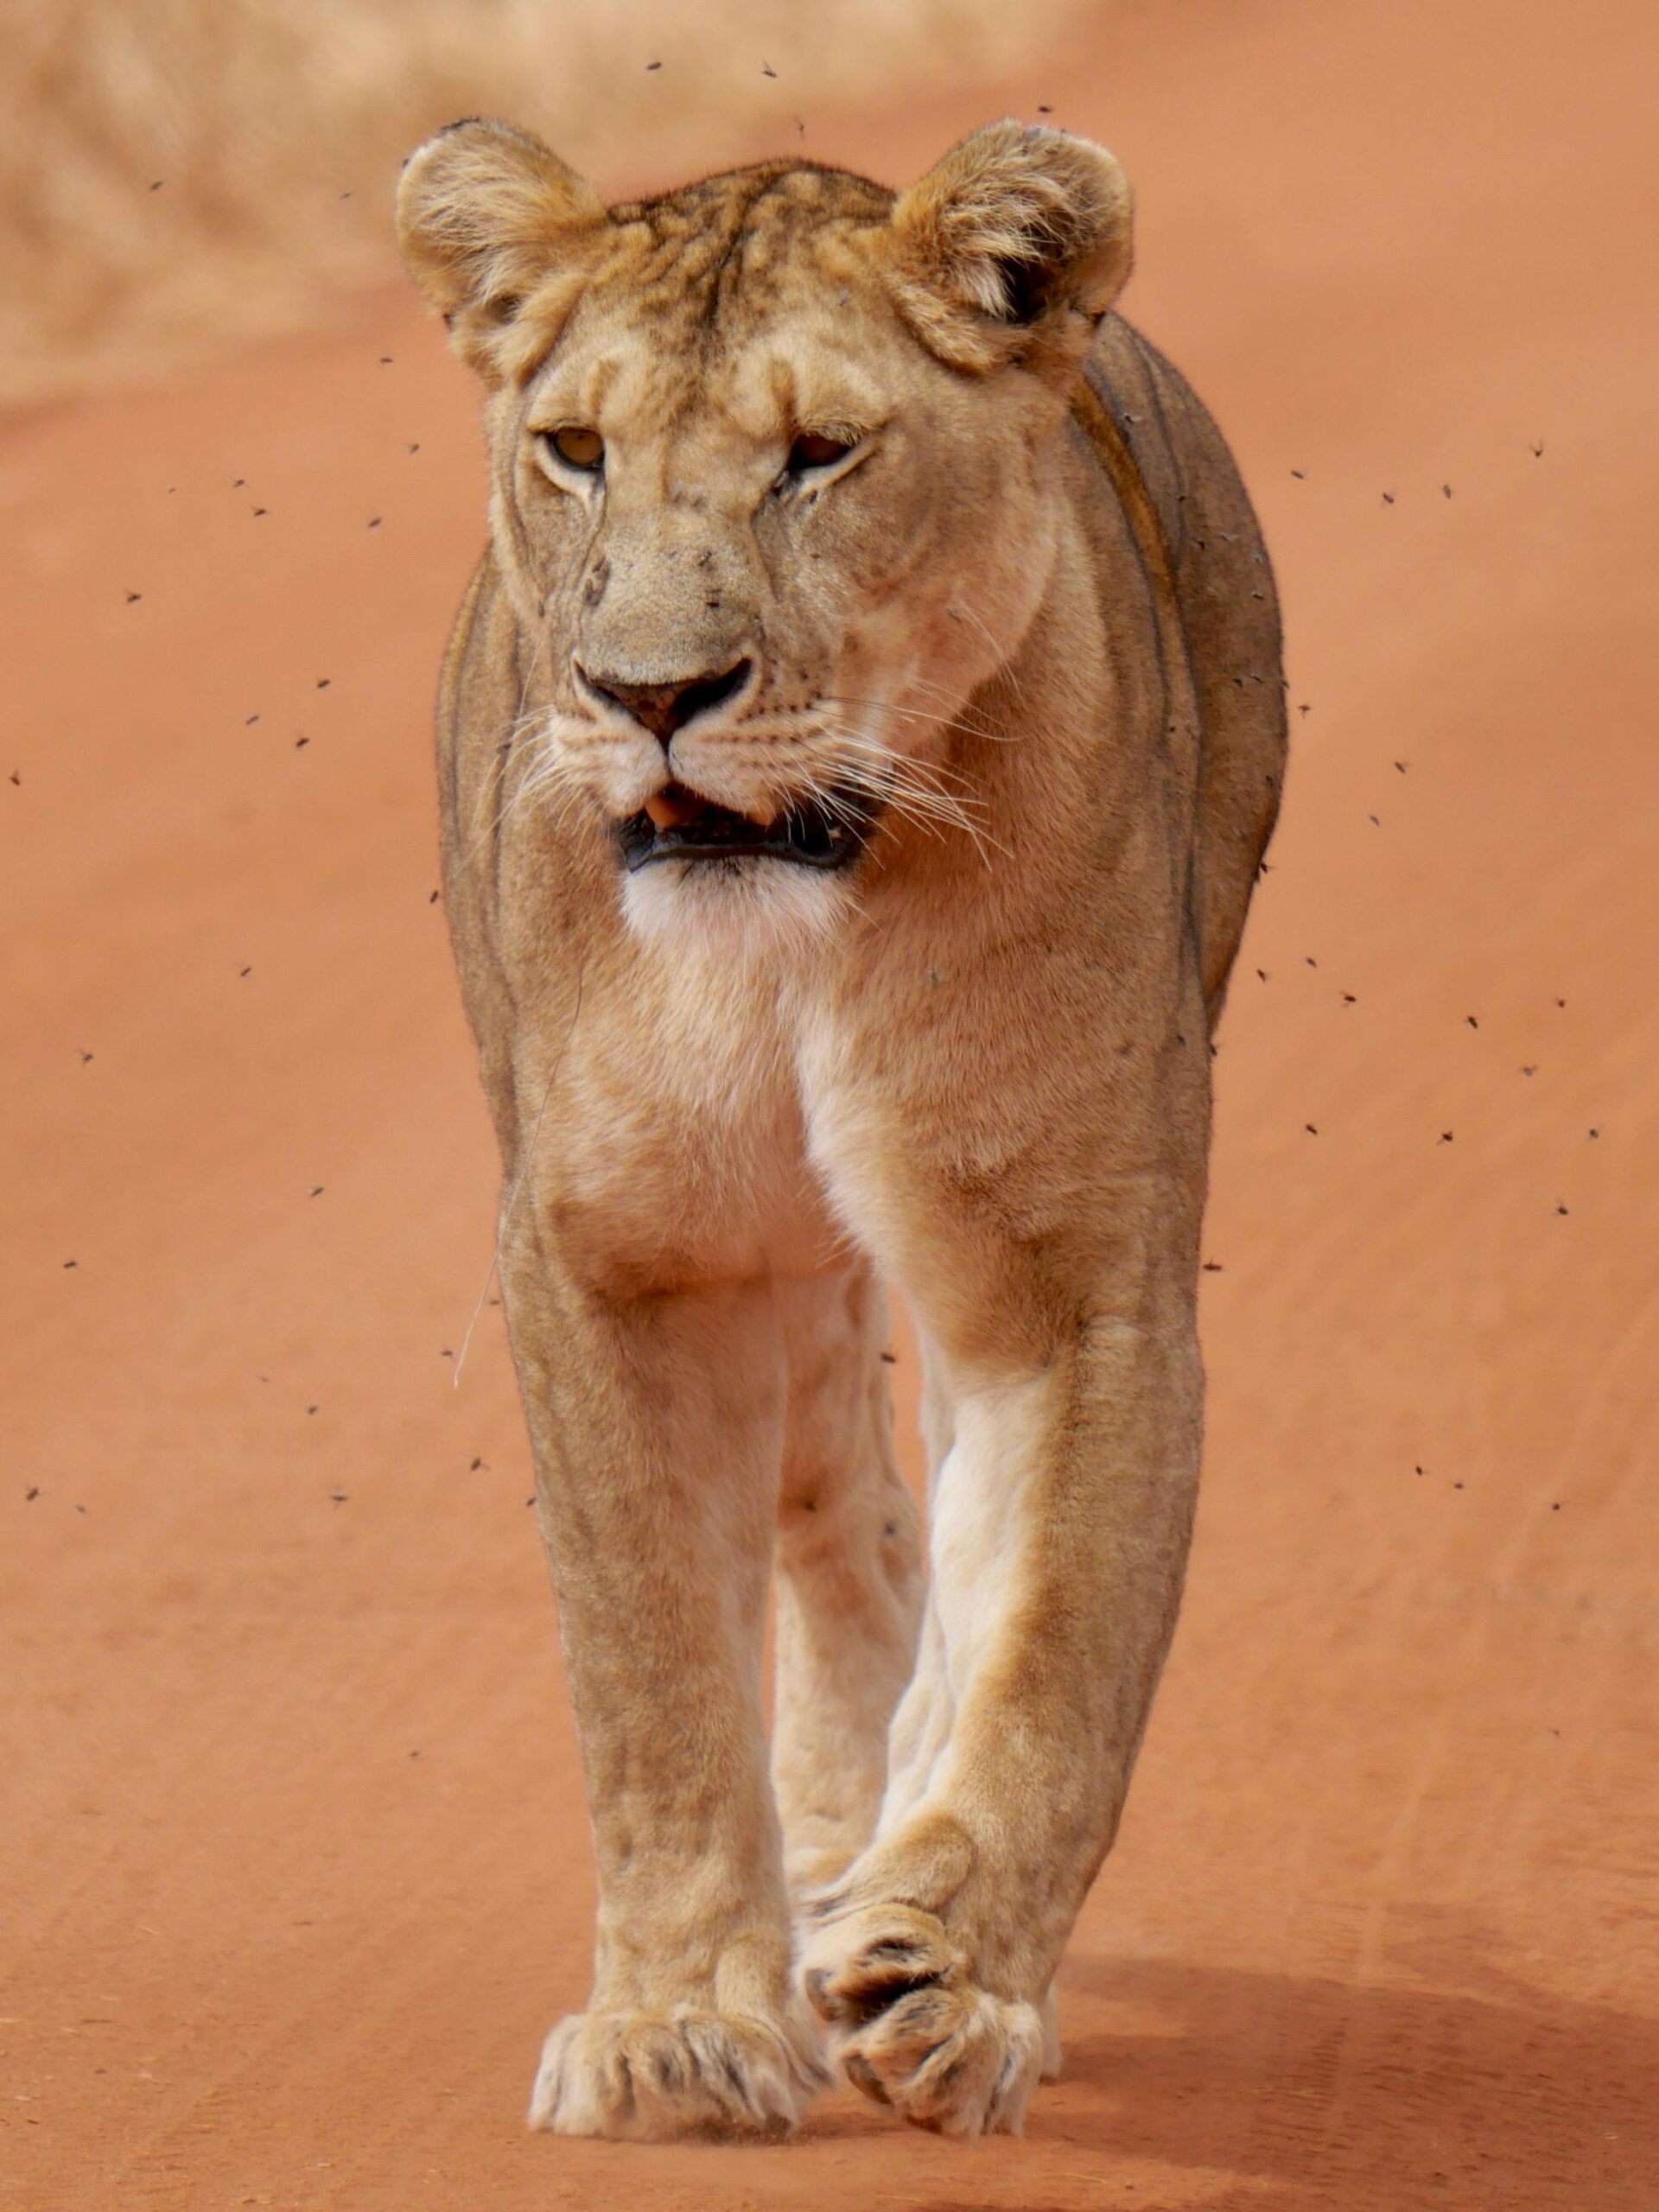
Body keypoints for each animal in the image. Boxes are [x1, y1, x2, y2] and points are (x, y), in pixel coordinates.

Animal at [395, 115, 1284, 2143]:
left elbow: (1051, 1643)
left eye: (821, 455)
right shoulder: (615, 1250)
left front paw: (948, 1977)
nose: (649, 696)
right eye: (576, 449)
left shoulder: (1074, 1267)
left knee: (945, 1526)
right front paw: (672, 2028)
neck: (791, 939)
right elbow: (649, 1664)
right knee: (837, 1504)